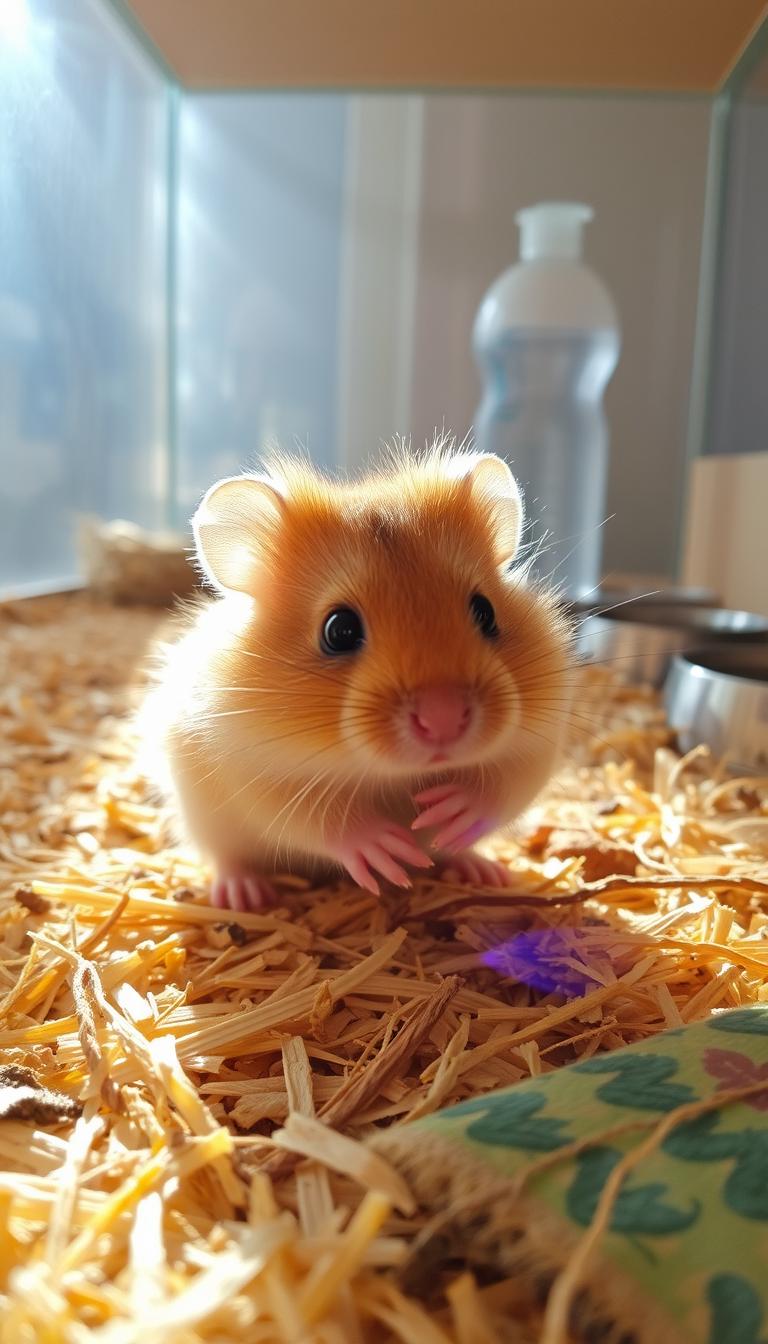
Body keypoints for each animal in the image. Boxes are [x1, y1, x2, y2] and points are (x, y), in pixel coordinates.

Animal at [146, 444, 572, 911]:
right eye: (339, 630)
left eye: (485, 611)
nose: (443, 719)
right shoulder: (255, 773)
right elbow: (326, 821)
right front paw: (393, 851)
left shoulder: (536, 743)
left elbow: (501, 786)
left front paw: (447, 813)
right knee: (229, 859)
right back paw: (244, 897)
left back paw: (481, 869)